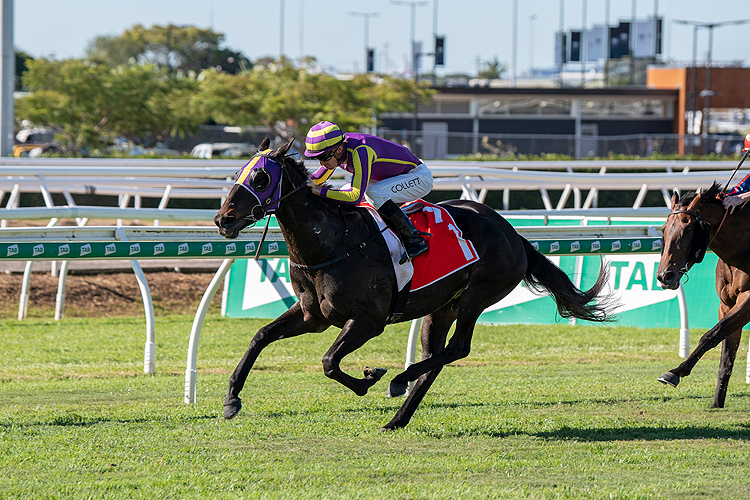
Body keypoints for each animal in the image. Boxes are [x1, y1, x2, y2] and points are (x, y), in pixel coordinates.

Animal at [214, 139, 612, 432]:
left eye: (262, 178)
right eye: (239, 172)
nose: (222, 220)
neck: (332, 242)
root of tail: (513, 234)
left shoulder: (369, 321)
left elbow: (329, 361)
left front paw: (370, 377)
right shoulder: (313, 316)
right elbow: (261, 336)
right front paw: (231, 401)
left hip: (477, 295)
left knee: (457, 348)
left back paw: (399, 379)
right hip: (441, 308)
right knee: (435, 359)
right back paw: (398, 417)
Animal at [656, 182, 750, 408]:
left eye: (688, 229)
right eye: (664, 229)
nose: (664, 276)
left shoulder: (748, 299)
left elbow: (713, 334)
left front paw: (675, 372)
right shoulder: (727, 304)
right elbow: (726, 352)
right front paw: (717, 403)